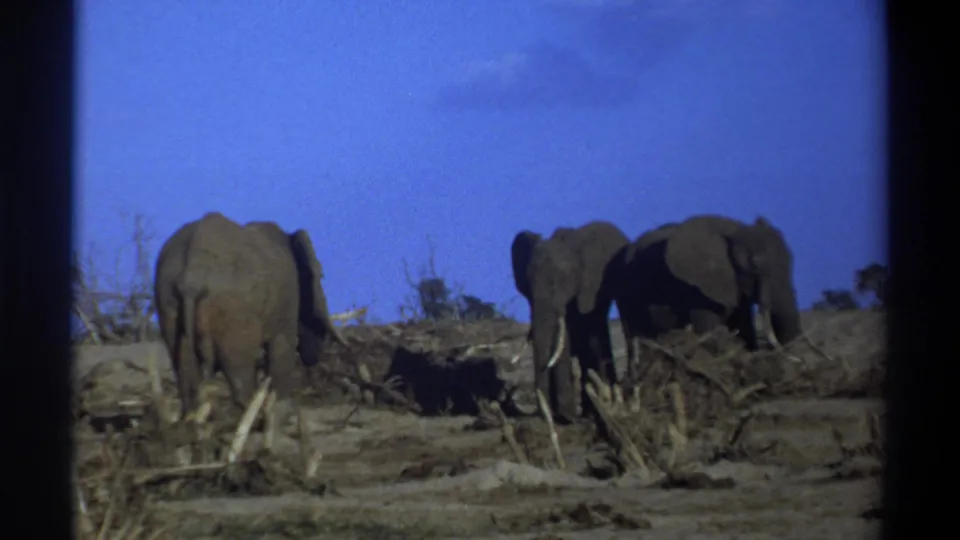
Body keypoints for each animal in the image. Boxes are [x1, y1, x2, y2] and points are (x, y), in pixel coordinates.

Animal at [153, 211, 346, 458]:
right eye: (321, 275)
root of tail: (192, 277)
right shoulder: (287, 300)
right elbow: (282, 349)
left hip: (168, 301)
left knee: (187, 377)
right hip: (234, 313)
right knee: (239, 376)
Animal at [510, 221, 631, 424]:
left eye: (562, 282)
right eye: (528, 284)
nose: (547, 416)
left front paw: (567, 418)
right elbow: (563, 341)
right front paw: (565, 417)